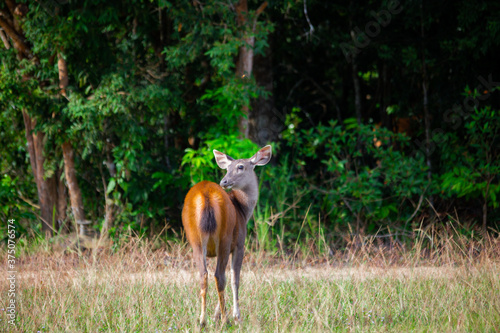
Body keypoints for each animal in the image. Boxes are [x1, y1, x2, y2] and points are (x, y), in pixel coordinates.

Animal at [182, 145, 272, 324]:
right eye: (228, 168)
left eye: (240, 167)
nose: (223, 181)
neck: (243, 210)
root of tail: (206, 195)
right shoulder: (239, 244)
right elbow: (235, 279)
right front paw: (236, 315)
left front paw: (215, 315)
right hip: (224, 237)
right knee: (219, 276)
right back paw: (225, 319)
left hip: (195, 239)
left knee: (203, 275)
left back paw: (202, 320)